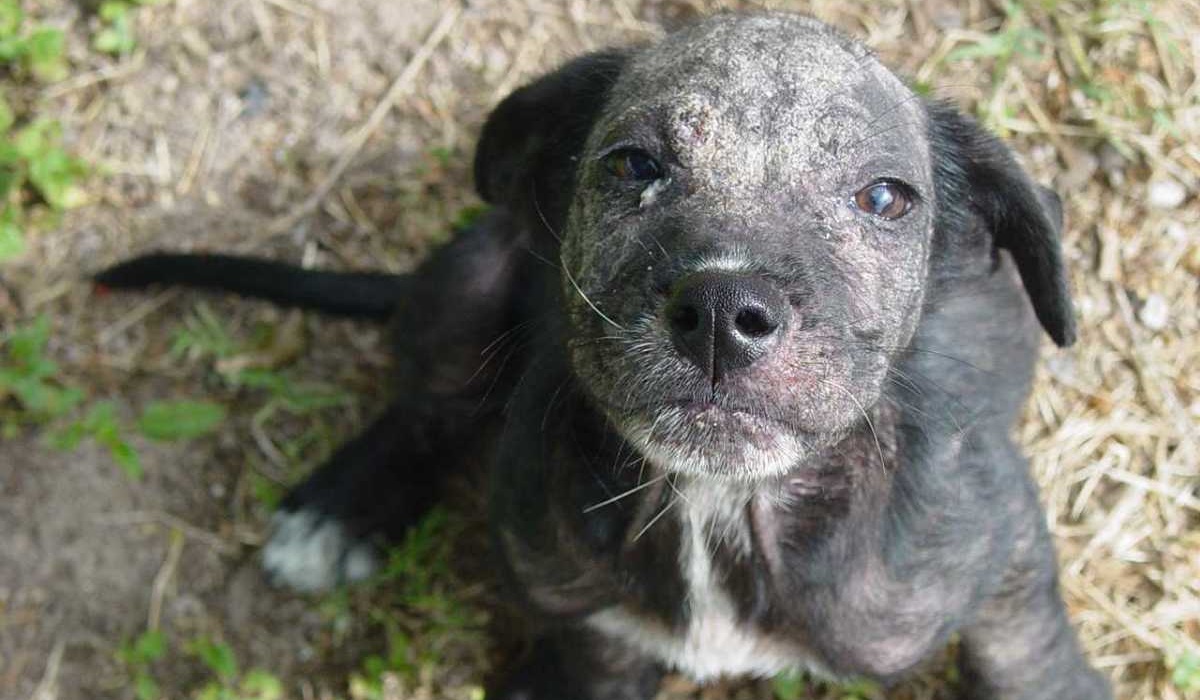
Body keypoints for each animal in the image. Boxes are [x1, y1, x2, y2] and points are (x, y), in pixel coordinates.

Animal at [98, 10, 1108, 700]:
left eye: (886, 198)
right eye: (630, 165)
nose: (724, 310)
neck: (715, 506)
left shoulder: (1000, 546)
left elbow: (1020, 651)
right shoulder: (569, 602)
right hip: (475, 267)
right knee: (427, 406)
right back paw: (342, 507)